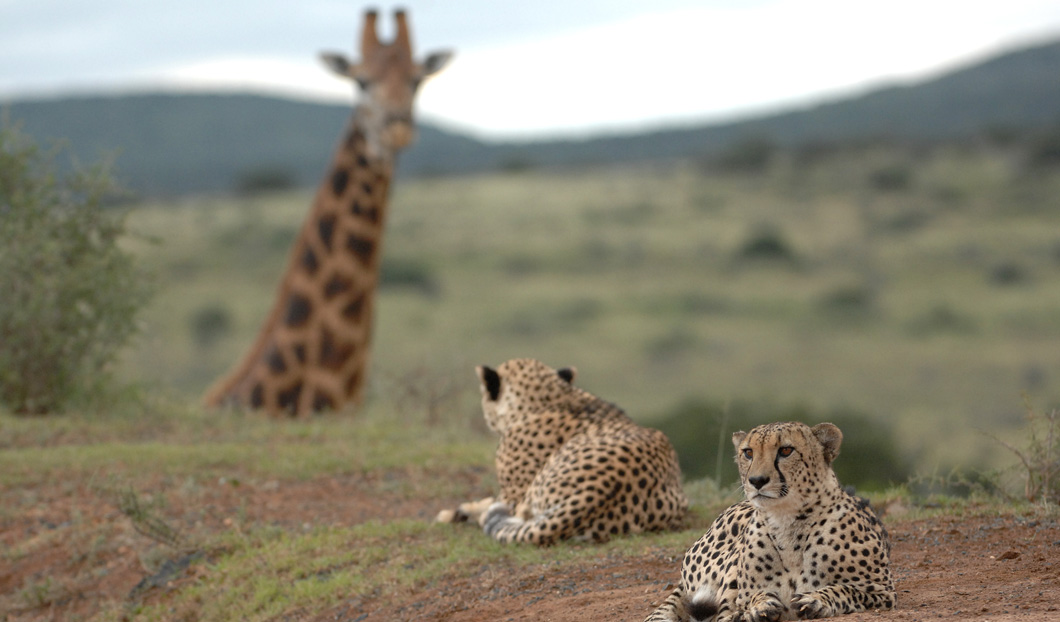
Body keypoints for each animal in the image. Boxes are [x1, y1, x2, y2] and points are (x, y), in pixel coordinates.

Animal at [644, 421, 894, 618]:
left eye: (786, 450)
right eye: (748, 453)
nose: (756, 480)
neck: (788, 521)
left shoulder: (882, 590)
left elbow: (844, 590)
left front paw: (816, 600)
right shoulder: (743, 595)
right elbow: (750, 600)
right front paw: (761, 606)